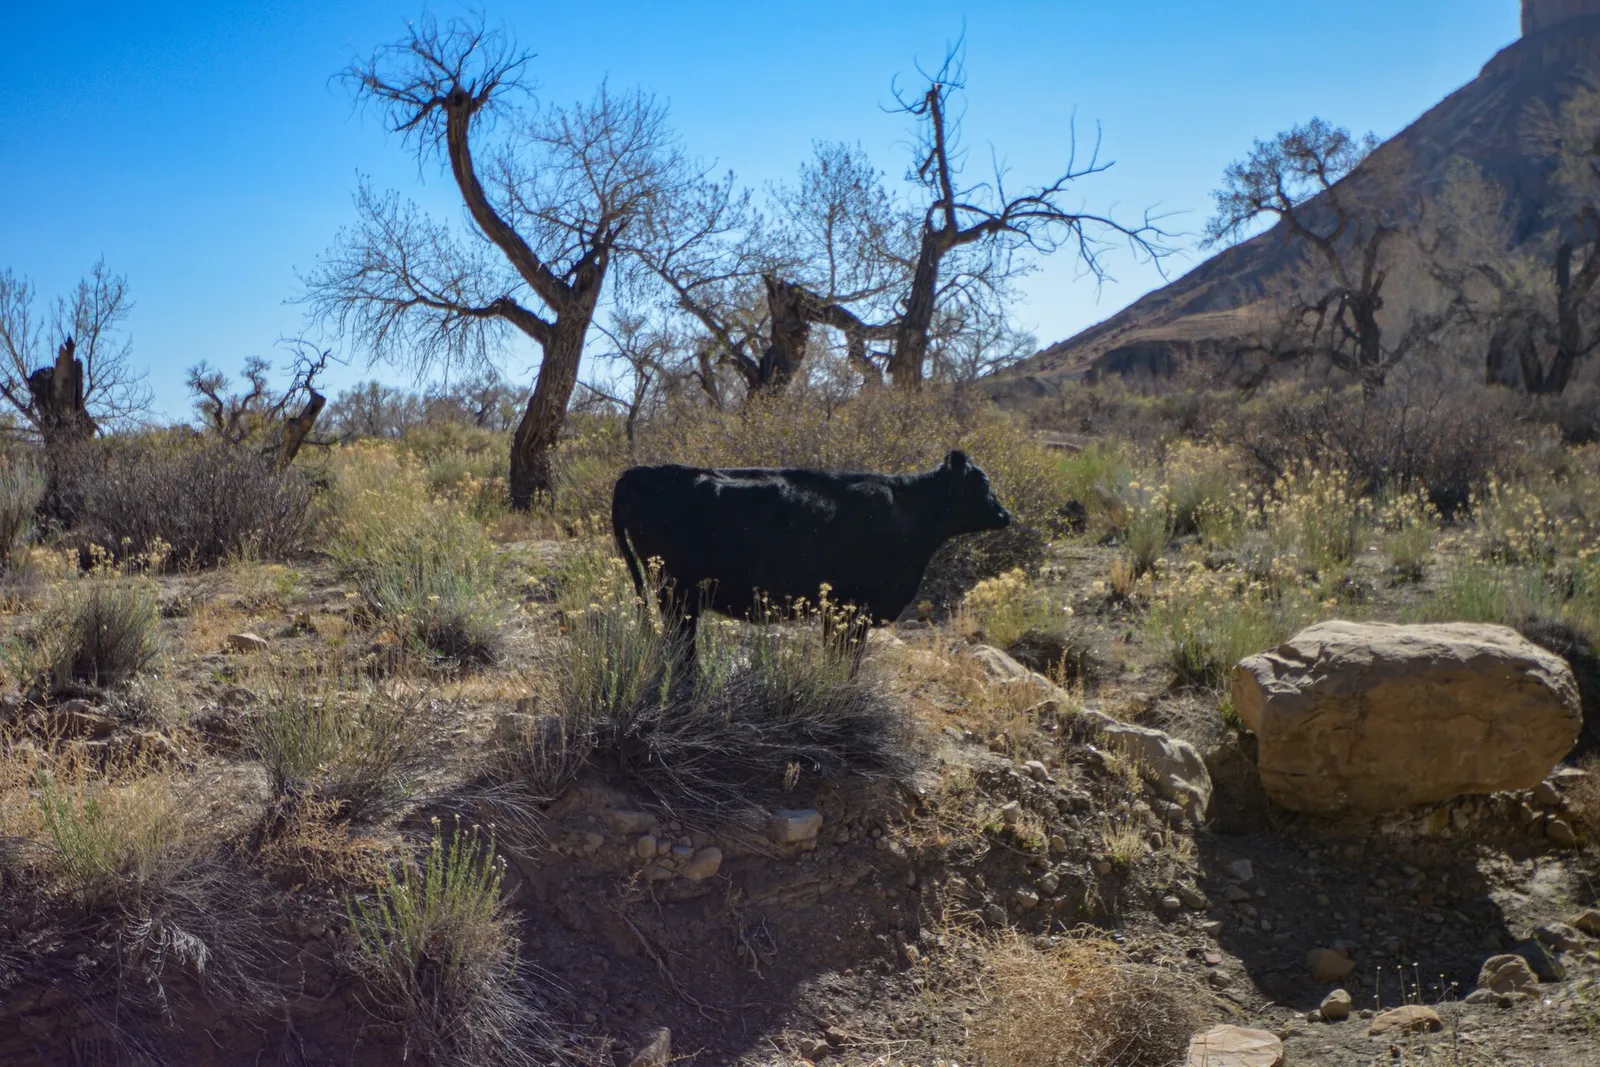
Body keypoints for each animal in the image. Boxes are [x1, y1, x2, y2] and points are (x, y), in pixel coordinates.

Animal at [610, 450, 1012, 671]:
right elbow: (846, 659)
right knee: (680, 645)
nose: (1005, 515)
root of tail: (640, 472)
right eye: (983, 484)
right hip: (676, 592)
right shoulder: (855, 606)